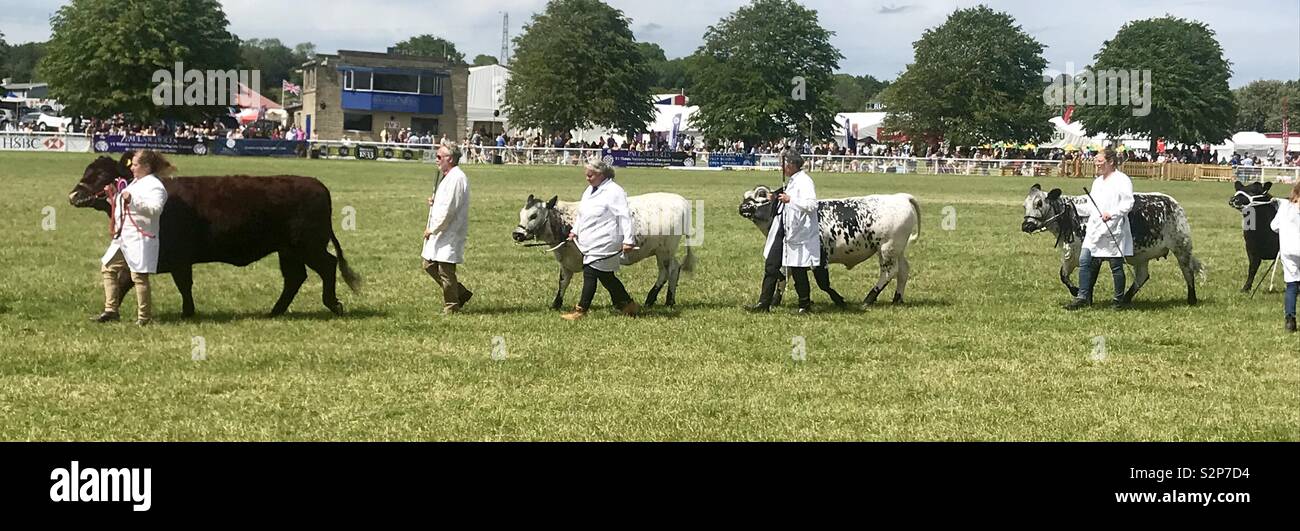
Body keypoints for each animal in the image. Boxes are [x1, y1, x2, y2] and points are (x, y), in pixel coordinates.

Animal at [68, 151, 358, 317]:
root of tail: (316, 184)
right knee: (295, 278)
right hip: (288, 251)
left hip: (307, 245)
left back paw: (333, 305)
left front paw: (187, 312)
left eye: (101, 175)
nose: (74, 195)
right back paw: (274, 311)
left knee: (328, 265)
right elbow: (129, 280)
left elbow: (158, 281)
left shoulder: (174, 257)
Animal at [509, 192, 702, 308]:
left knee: (667, 271)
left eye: (534, 215)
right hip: (662, 251)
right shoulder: (566, 261)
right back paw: (665, 300)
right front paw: (556, 304)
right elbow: (563, 282)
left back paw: (656, 299)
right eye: (521, 214)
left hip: (665, 251)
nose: (516, 234)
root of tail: (681, 201)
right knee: (673, 269)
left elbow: (601, 279)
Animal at [738, 186, 920, 311]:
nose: (742, 207)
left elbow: (822, 283)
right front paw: (774, 301)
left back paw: (868, 299)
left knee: (889, 272)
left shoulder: (820, 258)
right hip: (897, 250)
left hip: (887, 249)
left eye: (761, 195)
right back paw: (897, 299)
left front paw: (839, 300)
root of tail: (900, 197)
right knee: (903, 270)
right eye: (745, 196)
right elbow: (782, 276)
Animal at [1019, 184, 1201, 304]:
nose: (1026, 226)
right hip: (1141, 256)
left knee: (1188, 272)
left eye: (1039, 203)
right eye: (1024, 205)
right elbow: (1064, 276)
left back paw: (1191, 299)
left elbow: (1090, 278)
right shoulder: (1071, 254)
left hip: (1182, 247)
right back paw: (1125, 299)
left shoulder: (1094, 256)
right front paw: (1078, 293)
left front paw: (1085, 299)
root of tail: (1172, 202)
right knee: (1142, 277)